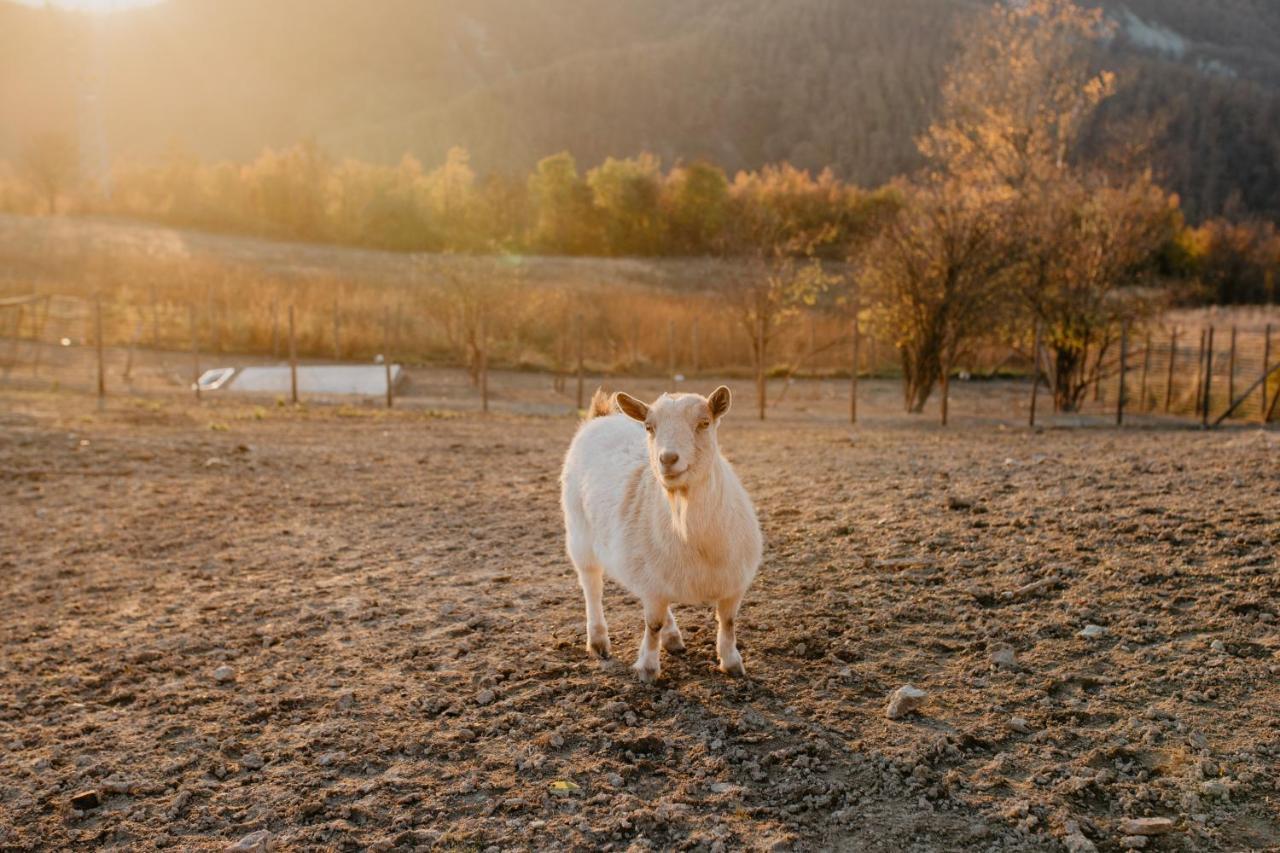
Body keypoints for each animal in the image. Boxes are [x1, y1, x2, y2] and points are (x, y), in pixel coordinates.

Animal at [560, 384, 757, 676]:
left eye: (704, 422)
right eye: (649, 427)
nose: (668, 458)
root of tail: (601, 416)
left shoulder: (734, 583)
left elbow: (728, 622)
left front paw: (732, 664)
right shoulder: (652, 584)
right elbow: (652, 625)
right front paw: (648, 669)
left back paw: (673, 637)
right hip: (579, 532)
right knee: (591, 584)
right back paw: (598, 641)